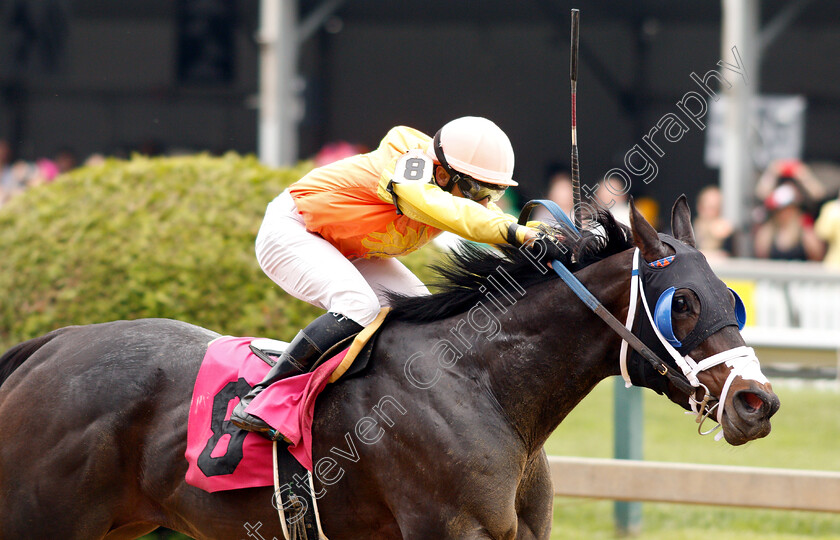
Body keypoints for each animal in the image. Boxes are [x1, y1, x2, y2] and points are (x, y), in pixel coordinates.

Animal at [0, 198, 780, 540]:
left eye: (731, 294)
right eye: (683, 302)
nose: (757, 403)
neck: (486, 388)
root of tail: (52, 343)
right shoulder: (447, 531)